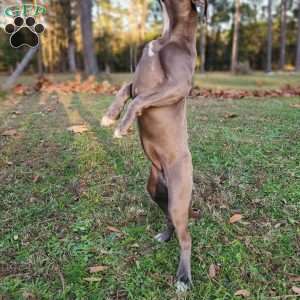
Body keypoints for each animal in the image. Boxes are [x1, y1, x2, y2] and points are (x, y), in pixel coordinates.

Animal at [102, 0, 207, 290]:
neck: (169, 36)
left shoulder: (176, 86)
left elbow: (139, 100)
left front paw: (122, 126)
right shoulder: (136, 82)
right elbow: (125, 89)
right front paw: (111, 115)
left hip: (179, 198)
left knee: (187, 238)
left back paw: (183, 277)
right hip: (156, 191)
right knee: (170, 219)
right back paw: (165, 236)